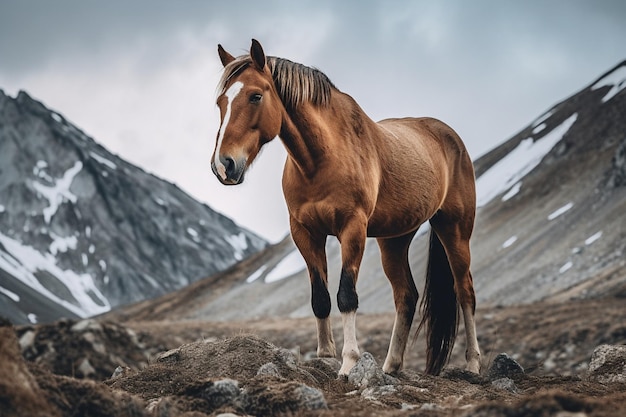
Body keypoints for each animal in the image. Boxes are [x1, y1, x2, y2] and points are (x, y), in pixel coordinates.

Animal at [212, 39, 480, 376]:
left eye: (255, 96)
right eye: (220, 102)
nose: (224, 166)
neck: (321, 159)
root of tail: (450, 136)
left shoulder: (352, 229)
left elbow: (345, 296)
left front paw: (349, 362)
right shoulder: (305, 232)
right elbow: (320, 298)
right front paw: (325, 356)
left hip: (454, 230)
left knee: (465, 291)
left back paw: (472, 364)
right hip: (394, 240)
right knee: (406, 296)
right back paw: (391, 366)